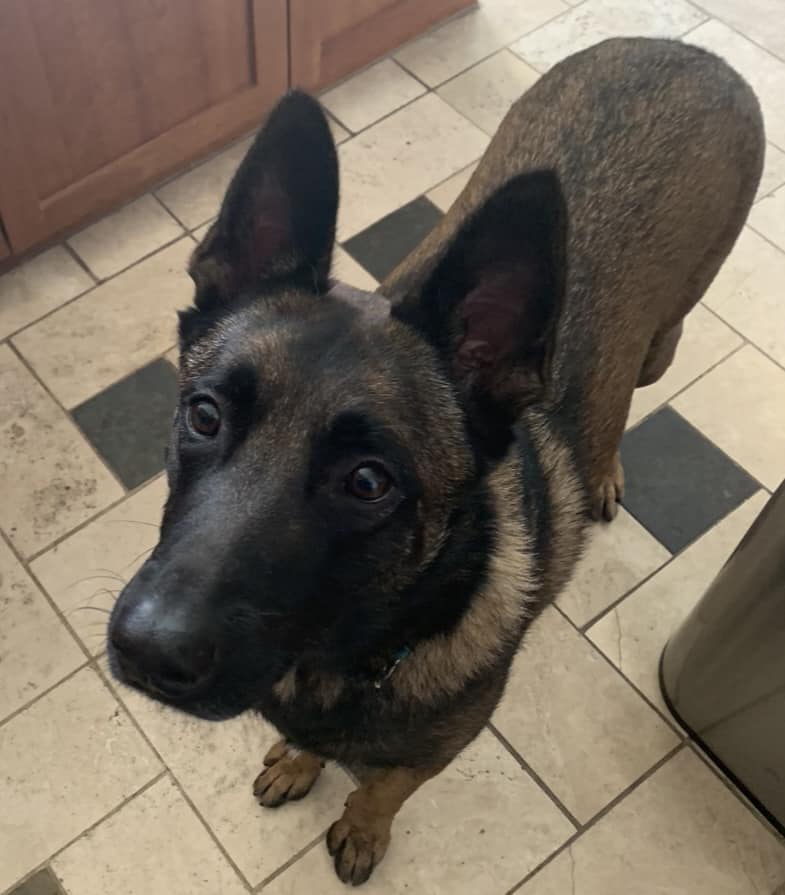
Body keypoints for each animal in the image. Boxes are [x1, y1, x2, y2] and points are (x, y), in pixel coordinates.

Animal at [107, 36, 764, 888]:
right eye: (204, 414)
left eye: (367, 481)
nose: (146, 650)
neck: (350, 651)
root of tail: (683, 49)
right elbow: (315, 750)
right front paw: (300, 760)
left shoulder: (436, 752)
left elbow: (383, 788)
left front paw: (362, 827)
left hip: (659, 347)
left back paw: (605, 470)